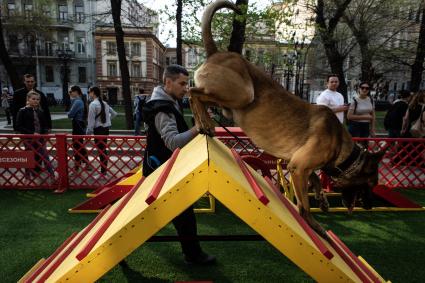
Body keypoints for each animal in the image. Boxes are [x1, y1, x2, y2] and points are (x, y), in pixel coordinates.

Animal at [190, 0, 384, 237]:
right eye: (371, 183)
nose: (370, 207)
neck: (342, 147)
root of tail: (216, 53)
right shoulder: (299, 167)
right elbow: (304, 206)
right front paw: (314, 225)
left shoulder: (297, 164)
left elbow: (315, 178)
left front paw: (322, 198)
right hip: (243, 93)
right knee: (192, 92)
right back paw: (205, 122)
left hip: (228, 100)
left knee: (198, 97)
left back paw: (202, 123)